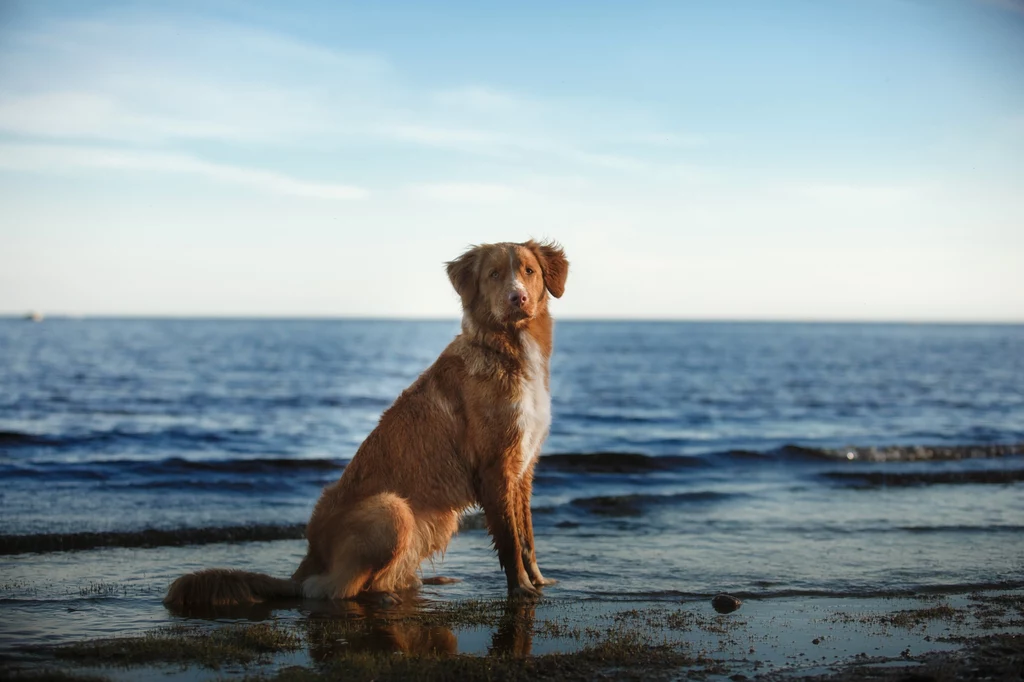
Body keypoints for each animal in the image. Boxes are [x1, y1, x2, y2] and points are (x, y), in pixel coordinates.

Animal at [166, 240, 569, 606]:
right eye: (494, 274)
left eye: (529, 271)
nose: (518, 298)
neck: (508, 349)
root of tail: (309, 560)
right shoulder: (495, 468)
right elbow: (510, 540)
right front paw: (521, 590)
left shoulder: (522, 469)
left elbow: (527, 536)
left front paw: (538, 581)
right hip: (392, 510)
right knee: (339, 589)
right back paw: (385, 597)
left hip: (435, 520)